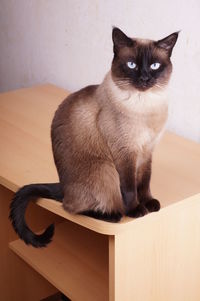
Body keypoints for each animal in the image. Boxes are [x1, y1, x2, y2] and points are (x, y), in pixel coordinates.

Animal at [9, 27, 179, 246]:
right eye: (131, 65)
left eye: (154, 66)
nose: (144, 79)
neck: (144, 107)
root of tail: (63, 186)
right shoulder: (125, 153)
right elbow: (130, 186)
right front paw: (136, 210)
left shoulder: (147, 151)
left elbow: (144, 181)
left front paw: (149, 203)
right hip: (105, 170)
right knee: (71, 207)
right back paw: (114, 215)